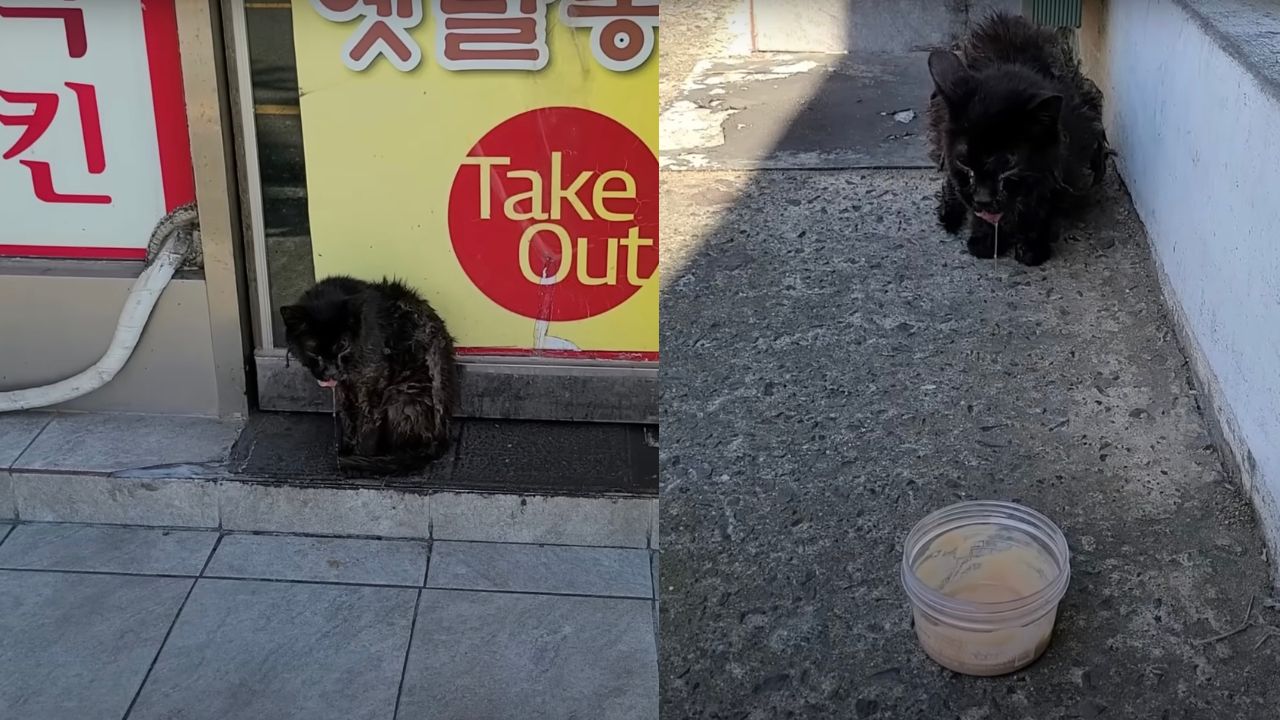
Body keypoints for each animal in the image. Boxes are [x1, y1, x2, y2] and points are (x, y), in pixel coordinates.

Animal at [282, 272, 458, 471]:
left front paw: (358, 458)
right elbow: (348, 419)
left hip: (400, 393)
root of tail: (442, 439)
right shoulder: (344, 389)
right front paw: (348, 447)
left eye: (343, 345)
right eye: (313, 350)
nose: (331, 371)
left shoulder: (373, 386)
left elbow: (366, 428)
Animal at [921, 11, 1111, 265]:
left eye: (1007, 167)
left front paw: (1031, 247)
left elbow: (1042, 206)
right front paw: (986, 240)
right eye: (965, 164)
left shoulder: (1062, 168)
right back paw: (949, 213)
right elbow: (975, 209)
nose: (983, 198)